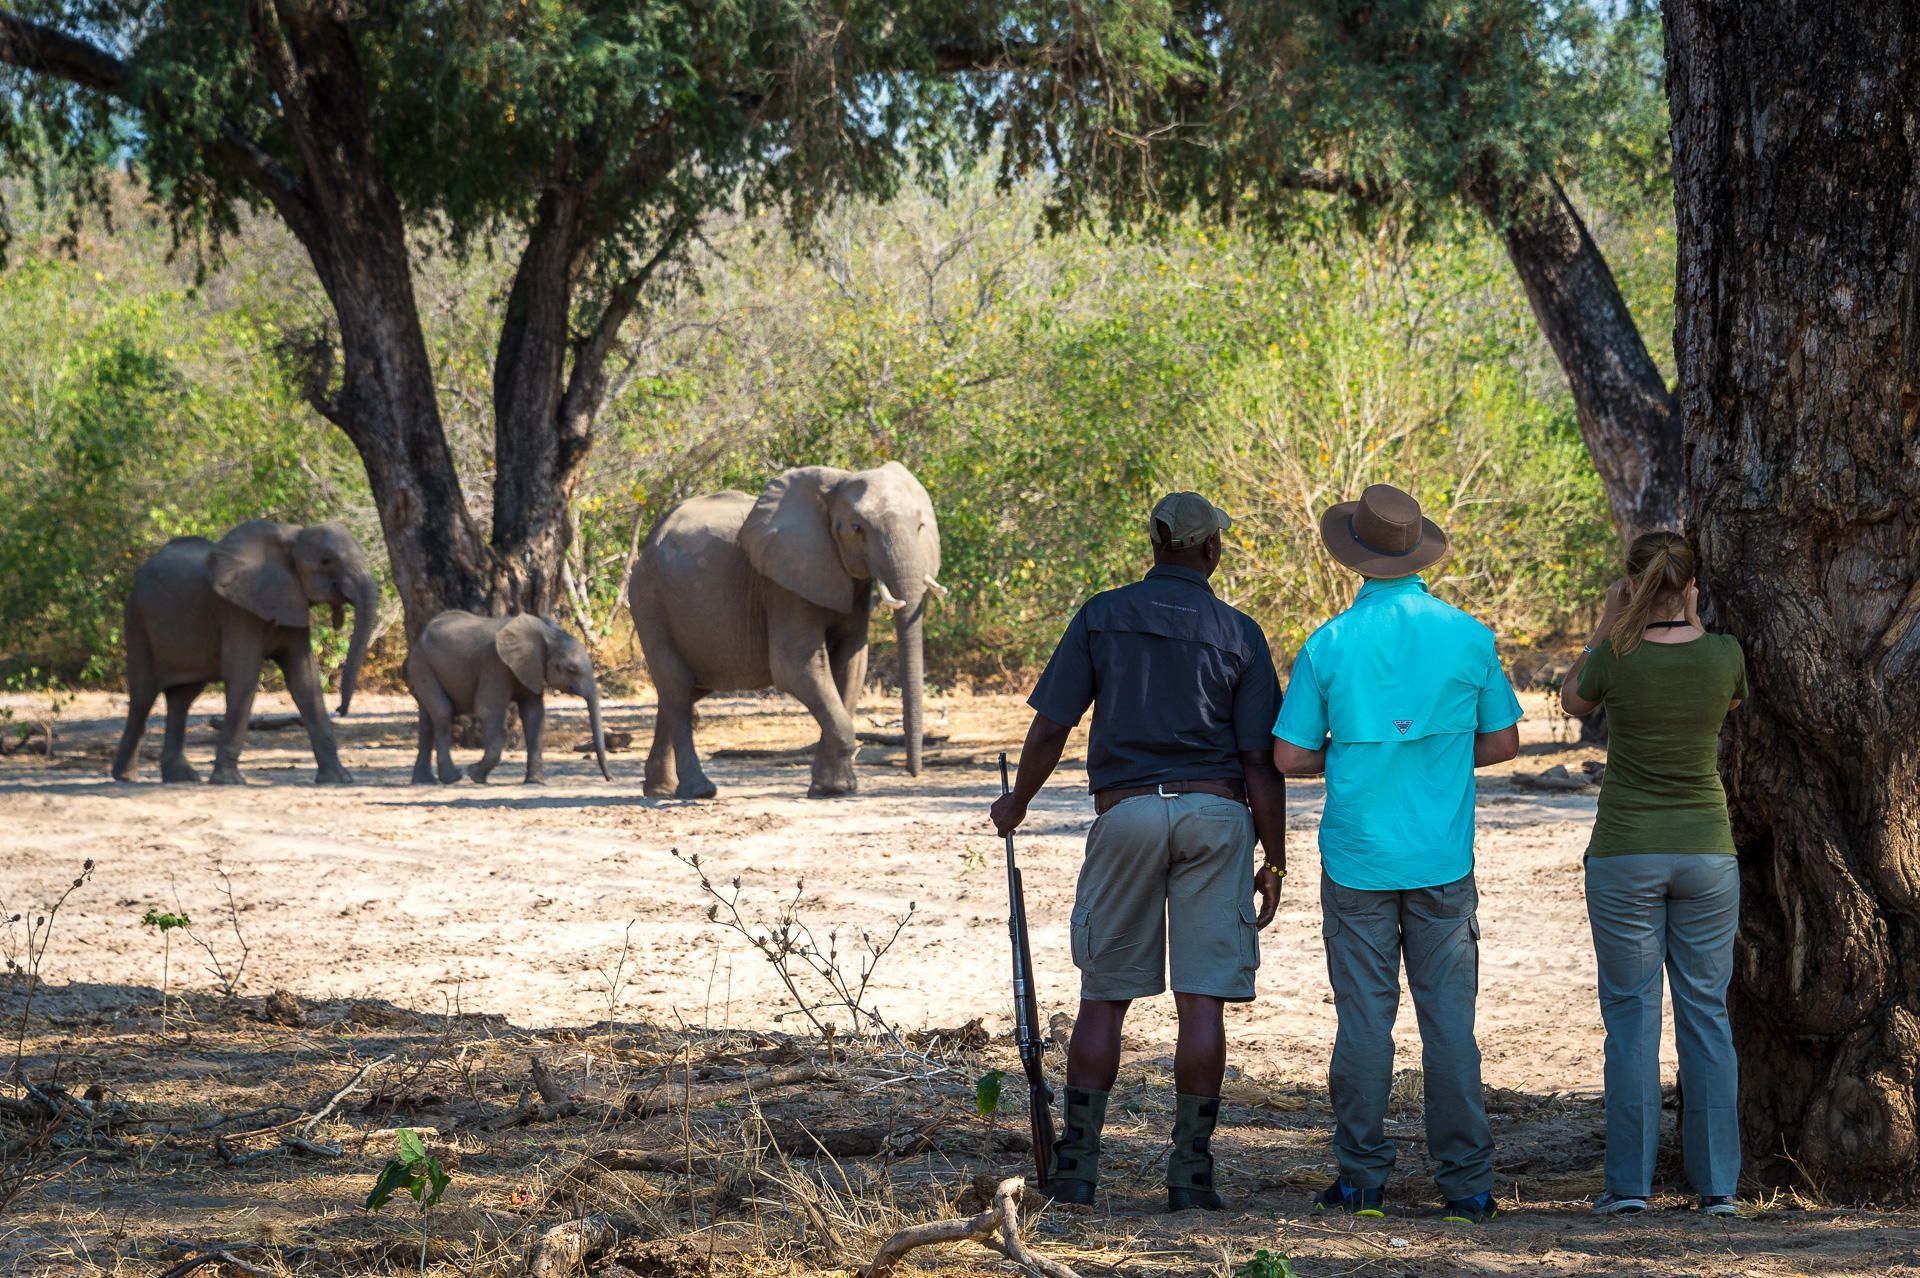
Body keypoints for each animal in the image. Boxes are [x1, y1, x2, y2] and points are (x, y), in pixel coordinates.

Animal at [109, 514, 378, 775]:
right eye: (326, 561)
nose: (340, 710)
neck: (292, 536)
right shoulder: (237, 612)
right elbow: (243, 677)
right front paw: (228, 780)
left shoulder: (291, 601)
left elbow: (305, 680)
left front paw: (338, 778)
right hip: (136, 618)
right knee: (143, 696)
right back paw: (125, 775)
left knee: (182, 698)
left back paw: (180, 776)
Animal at [407, 610, 610, 782]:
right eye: (571, 670)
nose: (610, 779)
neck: (547, 635)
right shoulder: (495, 665)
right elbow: (488, 711)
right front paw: (474, 775)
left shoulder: (530, 668)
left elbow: (534, 714)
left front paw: (535, 782)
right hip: (421, 666)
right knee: (442, 714)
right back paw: (452, 779)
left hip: (422, 667)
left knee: (427, 721)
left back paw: (425, 781)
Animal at [633, 458, 940, 798]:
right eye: (856, 529)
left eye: (920, 527)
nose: (912, 773)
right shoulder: (782, 586)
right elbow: (794, 667)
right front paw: (833, 790)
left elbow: (852, 665)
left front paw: (834, 787)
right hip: (649, 600)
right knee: (677, 686)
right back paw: (699, 791)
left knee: (684, 691)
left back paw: (660, 790)